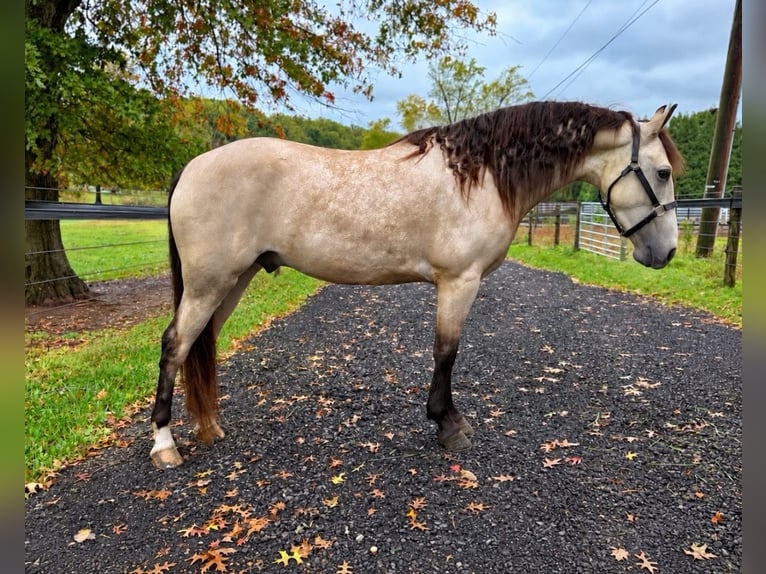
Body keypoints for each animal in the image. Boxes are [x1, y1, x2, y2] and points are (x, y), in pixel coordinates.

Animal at [149, 100, 684, 469]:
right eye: (662, 172)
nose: (667, 252)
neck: (481, 175)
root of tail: (193, 166)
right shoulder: (458, 282)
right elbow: (446, 352)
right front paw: (448, 424)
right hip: (210, 283)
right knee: (175, 344)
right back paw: (164, 444)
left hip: (231, 281)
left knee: (201, 344)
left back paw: (210, 427)